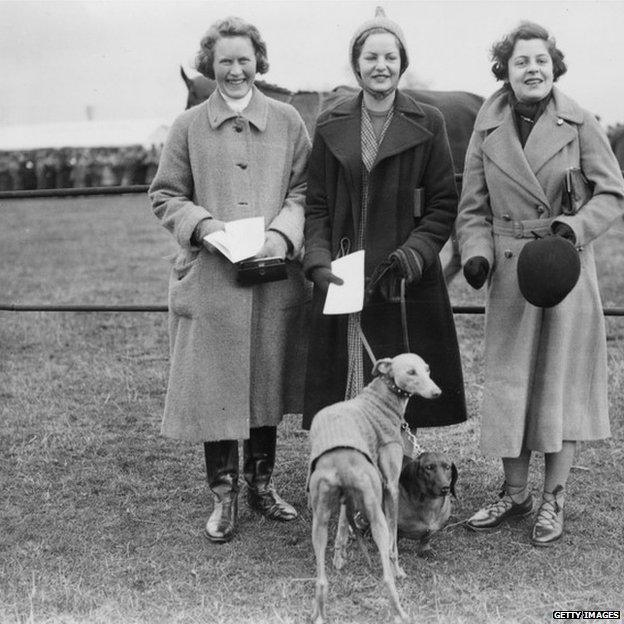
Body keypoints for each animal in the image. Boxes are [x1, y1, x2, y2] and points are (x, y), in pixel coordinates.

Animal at [310, 354, 442, 620]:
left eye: (427, 370)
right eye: (411, 372)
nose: (437, 393)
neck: (380, 400)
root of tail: (340, 461)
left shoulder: (346, 500)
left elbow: (343, 522)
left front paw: (339, 556)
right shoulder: (390, 486)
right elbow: (394, 540)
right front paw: (398, 568)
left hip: (318, 521)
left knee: (321, 581)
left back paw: (319, 615)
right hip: (375, 513)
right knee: (386, 576)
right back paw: (400, 611)